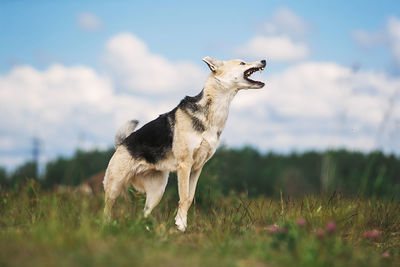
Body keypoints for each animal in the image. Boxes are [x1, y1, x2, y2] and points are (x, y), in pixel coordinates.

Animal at [103, 57, 266, 232]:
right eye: (242, 63)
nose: (264, 60)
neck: (213, 112)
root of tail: (121, 143)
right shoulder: (185, 165)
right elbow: (183, 197)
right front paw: (181, 225)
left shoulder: (197, 168)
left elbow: (189, 198)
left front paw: (181, 224)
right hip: (115, 186)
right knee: (106, 210)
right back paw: (107, 226)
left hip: (157, 192)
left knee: (144, 213)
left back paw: (146, 229)